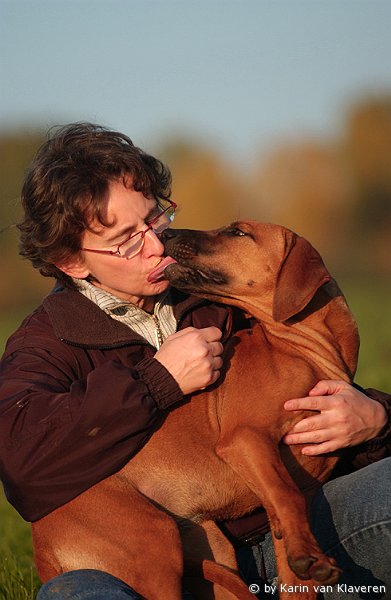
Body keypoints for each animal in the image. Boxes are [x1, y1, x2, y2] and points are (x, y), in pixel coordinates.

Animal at [32, 223, 360, 596]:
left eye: (237, 232)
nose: (167, 232)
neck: (307, 349)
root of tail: (41, 546)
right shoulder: (245, 439)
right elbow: (287, 494)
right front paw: (313, 557)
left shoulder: (286, 495)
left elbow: (292, 525)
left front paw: (306, 557)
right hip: (152, 540)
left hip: (212, 546)